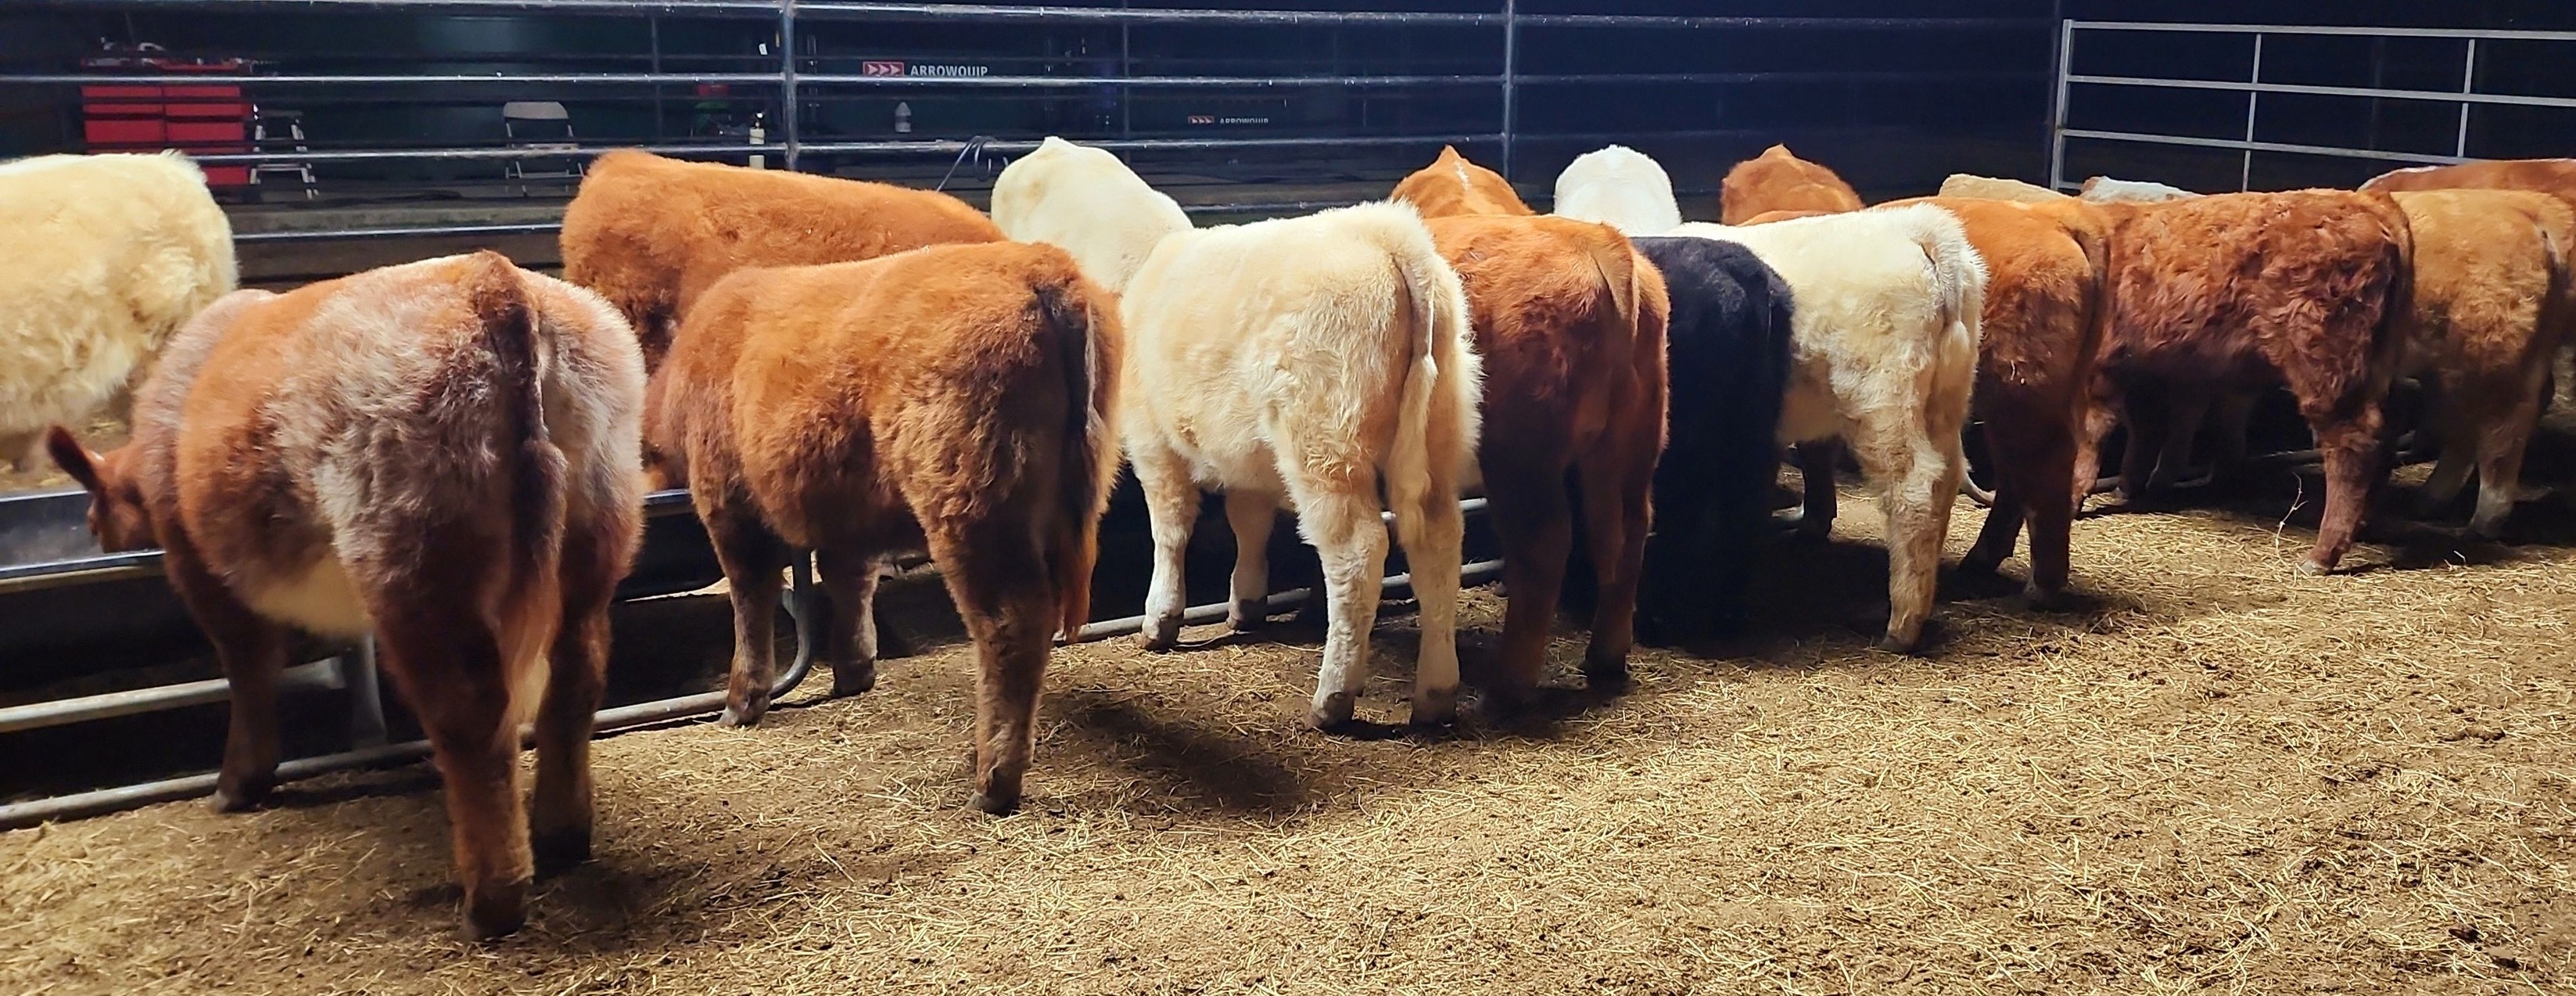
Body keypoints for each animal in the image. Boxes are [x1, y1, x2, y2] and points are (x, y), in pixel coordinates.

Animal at [45, 252, 647, 940]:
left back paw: (491, 901)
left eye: (95, 506)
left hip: (414, 554)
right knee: (576, 673)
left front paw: (238, 782)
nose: (93, 529)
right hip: (598, 520)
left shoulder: (198, 564)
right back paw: (562, 835)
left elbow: (249, 668)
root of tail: (492, 278)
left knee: (471, 713)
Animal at [644, 241, 1118, 814]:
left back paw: (993, 781)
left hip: (972, 509)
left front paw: (743, 700)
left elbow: (751, 599)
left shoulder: (730, 507)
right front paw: (856, 668)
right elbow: (851, 581)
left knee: (1012, 623)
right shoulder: (849, 516)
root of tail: (1040, 264)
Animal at [1119, 201, 1481, 728]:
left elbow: (1170, 531)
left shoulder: (1152, 439)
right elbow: (1248, 524)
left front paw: (1160, 619)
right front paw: (1246, 604)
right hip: (1439, 436)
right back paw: (1436, 693)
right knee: (1438, 546)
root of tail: (1388, 231)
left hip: (1325, 446)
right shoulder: (1244, 457)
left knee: (1357, 554)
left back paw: (1332, 698)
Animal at [1672, 205, 1986, 651]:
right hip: (1944, 401)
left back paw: (1901, 625)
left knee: (1913, 490)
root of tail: (1918, 227)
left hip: (1881, 398)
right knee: (1945, 481)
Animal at [2079, 191, 2414, 574]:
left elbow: (2093, 434)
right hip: (2375, 364)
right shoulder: (2138, 368)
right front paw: (2127, 487)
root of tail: (2368, 202)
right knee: (2387, 430)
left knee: (2352, 441)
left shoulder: (2100, 370)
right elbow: (2143, 427)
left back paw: (2322, 555)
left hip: (2327, 361)